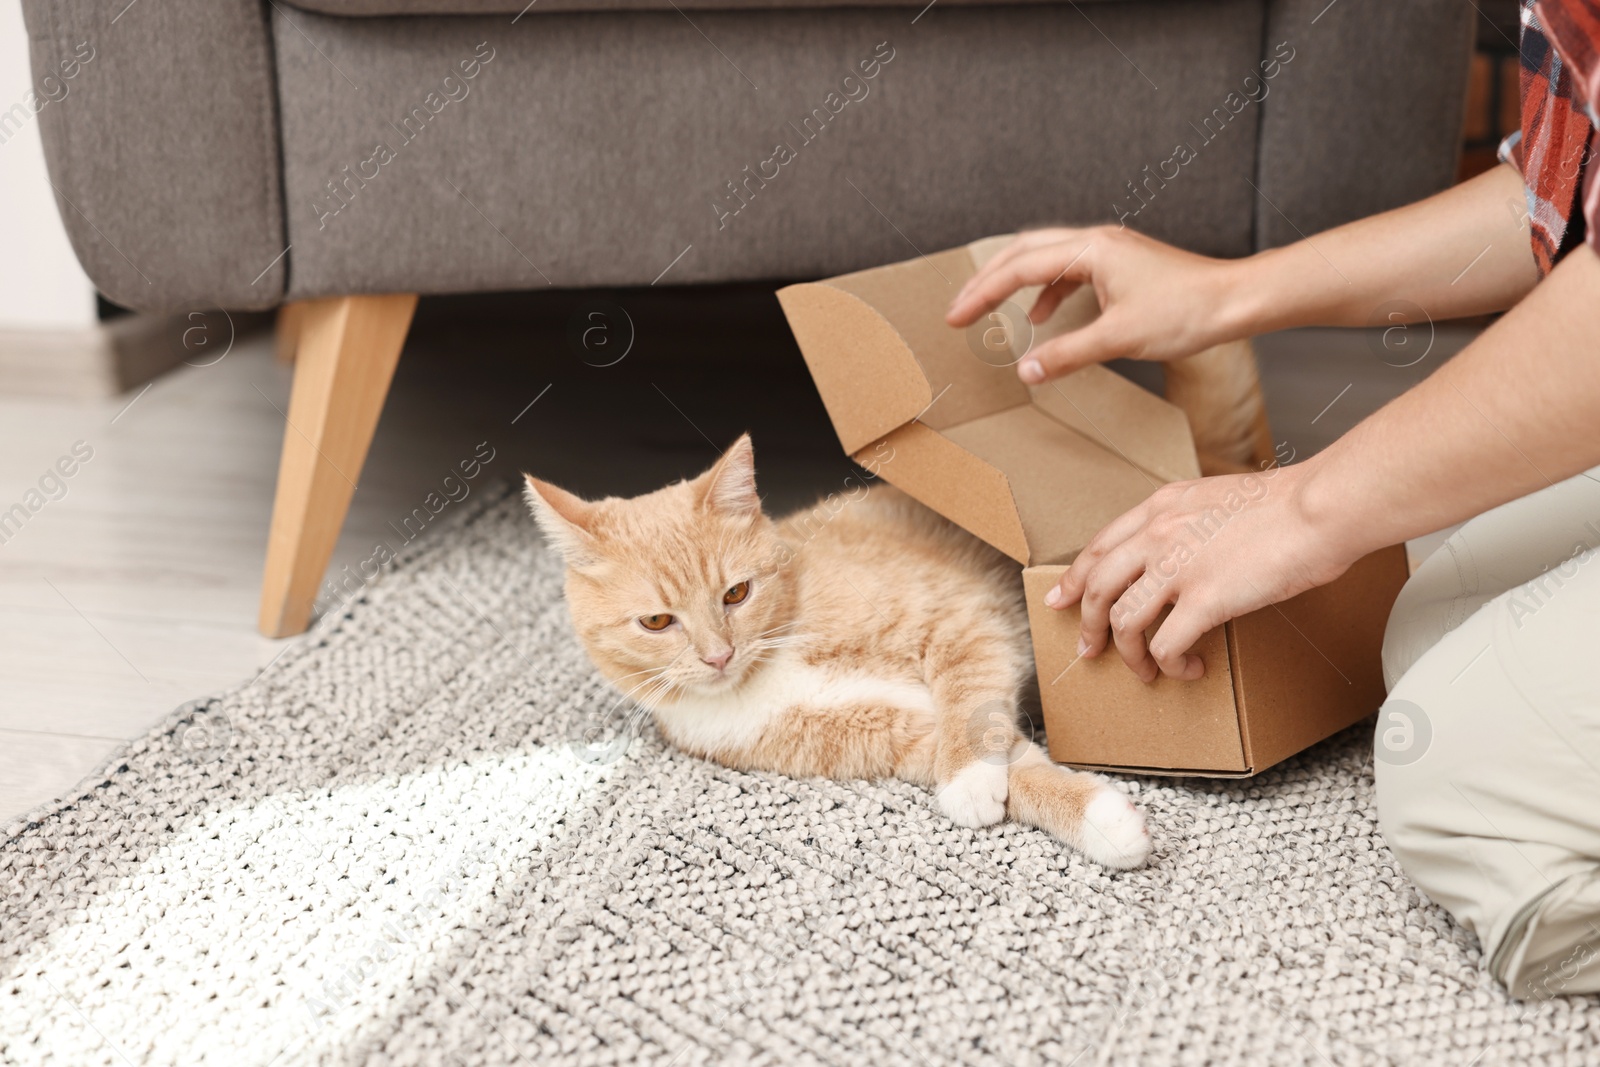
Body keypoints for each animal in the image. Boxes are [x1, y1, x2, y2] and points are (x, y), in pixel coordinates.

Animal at [531, 435, 1158, 870]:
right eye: (657, 621)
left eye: (736, 593)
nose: (718, 656)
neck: (771, 666)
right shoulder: (894, 734)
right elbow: (1016, 762)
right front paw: (1103, 821)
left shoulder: (964, 619)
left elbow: (969, 700)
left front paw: (969, 779)